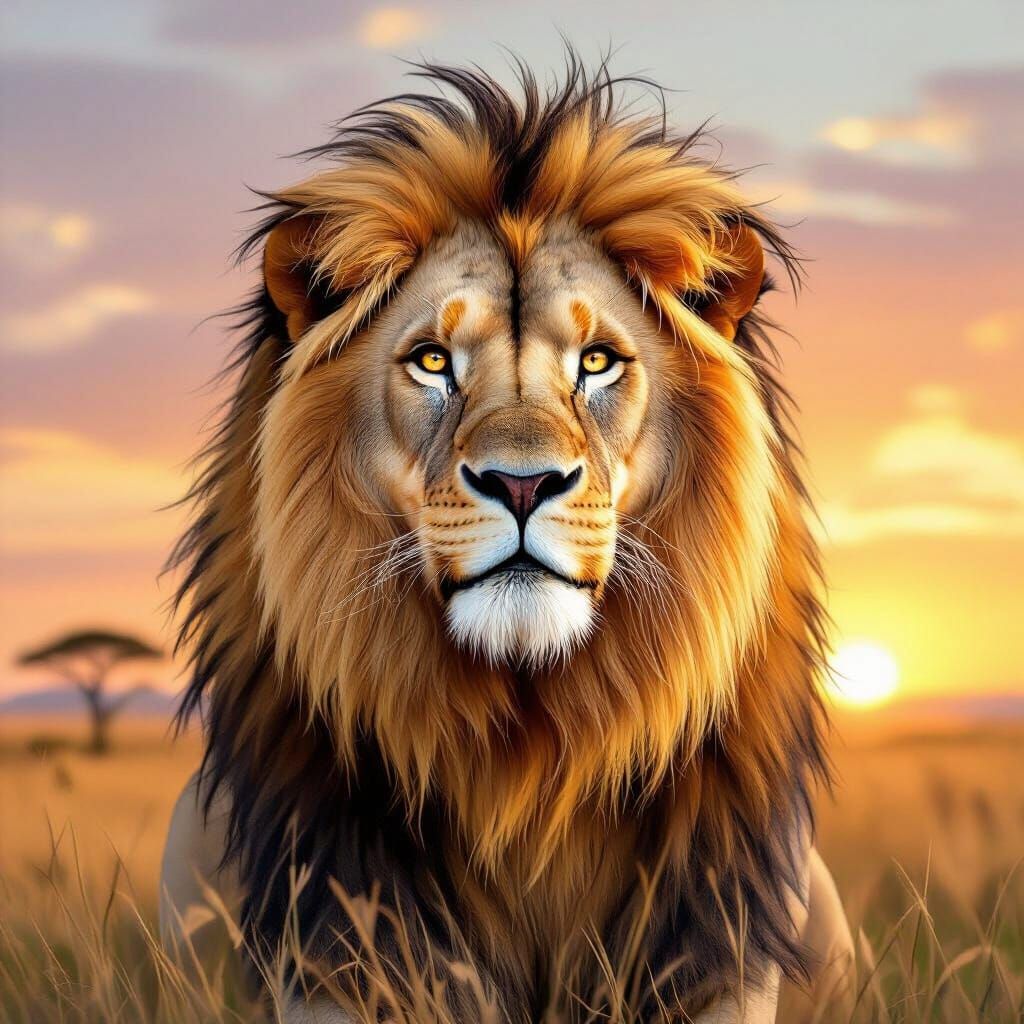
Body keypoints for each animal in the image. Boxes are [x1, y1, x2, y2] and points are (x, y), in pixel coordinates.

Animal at [160, 57, 855, 1023]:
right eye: (432, 361)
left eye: (597, 362)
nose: (523, 485)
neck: (526, 752)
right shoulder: (341, 942)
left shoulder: (716, 946)